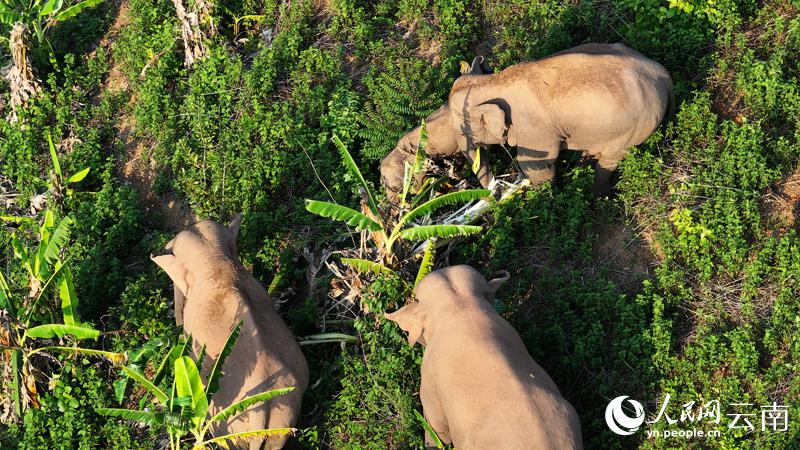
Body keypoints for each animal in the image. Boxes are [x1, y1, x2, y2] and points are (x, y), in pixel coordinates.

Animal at [382, 43, 676, 196]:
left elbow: (534, 165)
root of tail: (663, 75)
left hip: (635, 127)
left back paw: (595, 194)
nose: (497, 193)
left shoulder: (533, 130)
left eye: (462, 132)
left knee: (611, 158)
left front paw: (544, 198)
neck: (492, 82)